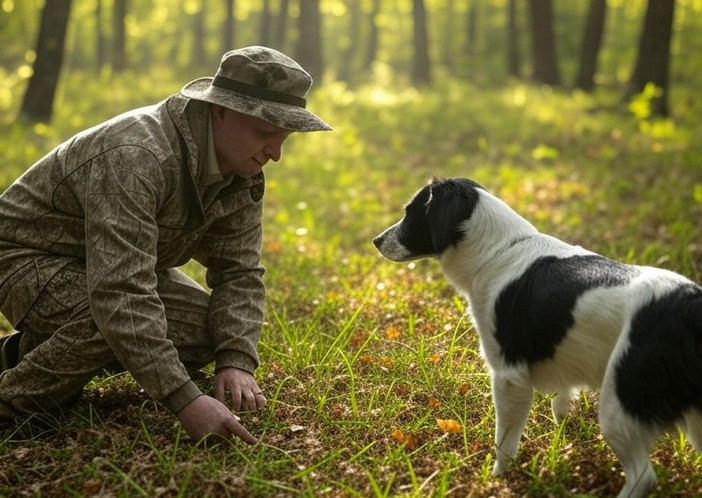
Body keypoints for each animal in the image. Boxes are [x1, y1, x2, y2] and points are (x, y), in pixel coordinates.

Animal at [374, 179, 702, 498]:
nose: (376, 241)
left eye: (411, 212)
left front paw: (497, 478)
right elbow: (562, 400)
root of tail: (686, 307)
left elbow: (505, 440)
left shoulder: (509, 376)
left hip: (618, 407)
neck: (499, 251)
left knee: (642, 477)